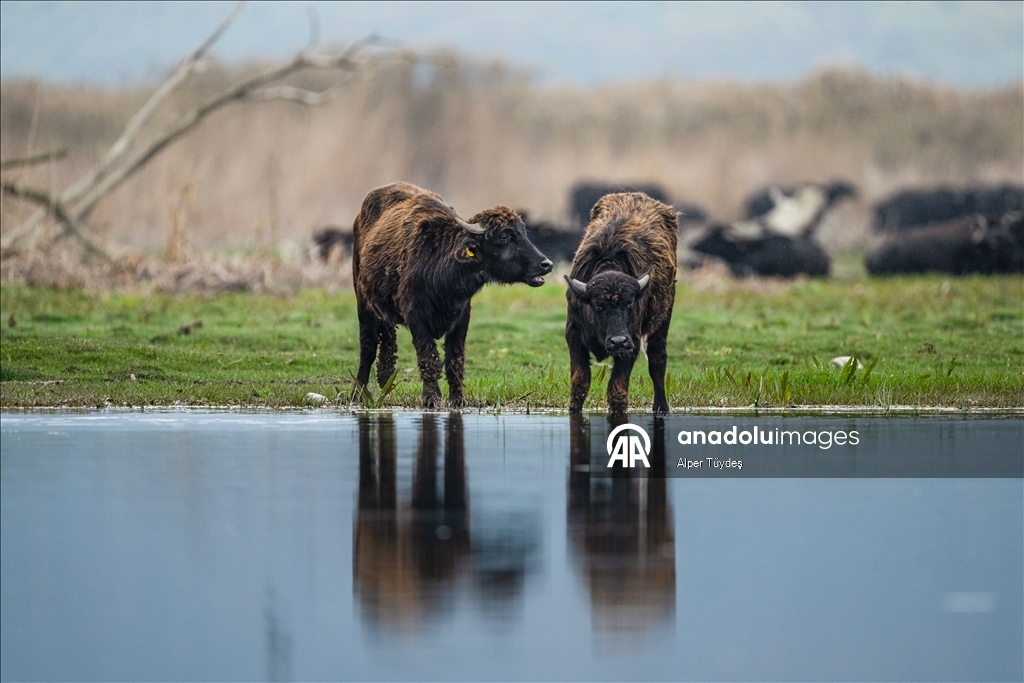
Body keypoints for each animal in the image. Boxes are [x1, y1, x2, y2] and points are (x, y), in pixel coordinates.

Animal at [352, 182, 553, 408]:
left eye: (523, 232)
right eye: (504, 236)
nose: (546, 264)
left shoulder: (461, 318)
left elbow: (455, 362)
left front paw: (457, 400)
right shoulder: (416, 318)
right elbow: (428, 358)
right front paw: (430, 398)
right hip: (363, 300)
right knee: (367, 348)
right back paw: (356, 394)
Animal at [564, 192, 678, 414]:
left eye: (630, 302)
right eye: (598, 304)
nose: (618, 341)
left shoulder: (631, 341)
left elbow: (617, 390)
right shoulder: (574, 334)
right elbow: (579, 383)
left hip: (664, 316)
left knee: (657, 359)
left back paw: (661, 407)